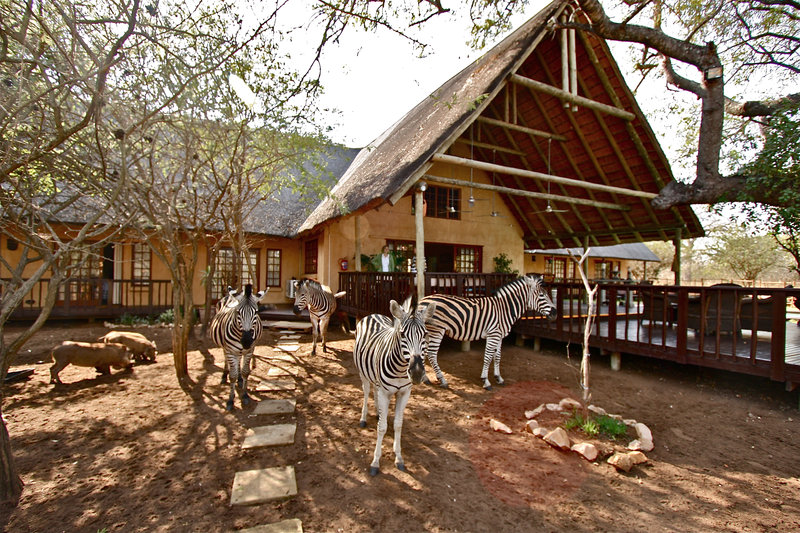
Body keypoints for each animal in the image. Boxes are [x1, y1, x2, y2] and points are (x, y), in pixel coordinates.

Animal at [354, 298, 434, 476]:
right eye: (403, 334)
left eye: (425, 334)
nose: (417, 373)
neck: (400, 369)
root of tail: (373, 314)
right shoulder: (385, 392)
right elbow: (382, 428)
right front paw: (375, 462)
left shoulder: (404, 393)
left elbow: (398, 424)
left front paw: (399, 457)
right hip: (363, 373)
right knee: (366, 392)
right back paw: (363, 418)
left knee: (375, 392)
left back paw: (378, 412)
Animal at [418, 274, 556, 390]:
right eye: (542, 295)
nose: (555, 313)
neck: (504, 309)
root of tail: (422, 300)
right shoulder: (493, 334)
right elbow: (488, 357)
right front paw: (486, 381)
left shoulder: (500, 336)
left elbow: (497, 357)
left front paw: (498, 378)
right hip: (437, 331)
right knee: (431, 354)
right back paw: (442, 380)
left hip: (427, 332)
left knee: (423, 352)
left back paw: (425, 378)